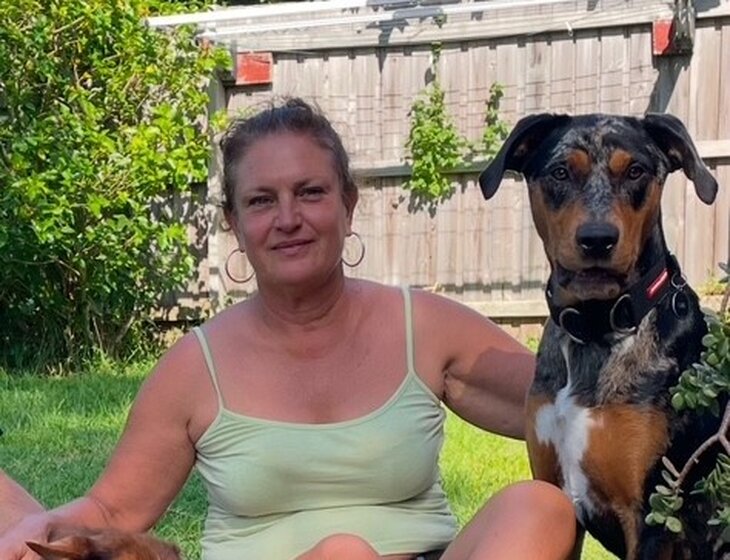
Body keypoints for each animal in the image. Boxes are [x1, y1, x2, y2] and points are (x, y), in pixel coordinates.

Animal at [478, 113, 721, 559]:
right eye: (560, 172)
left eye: (635, 171)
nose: (597, 239)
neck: (596, 327)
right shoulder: (554, 497)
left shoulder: (651, 516)